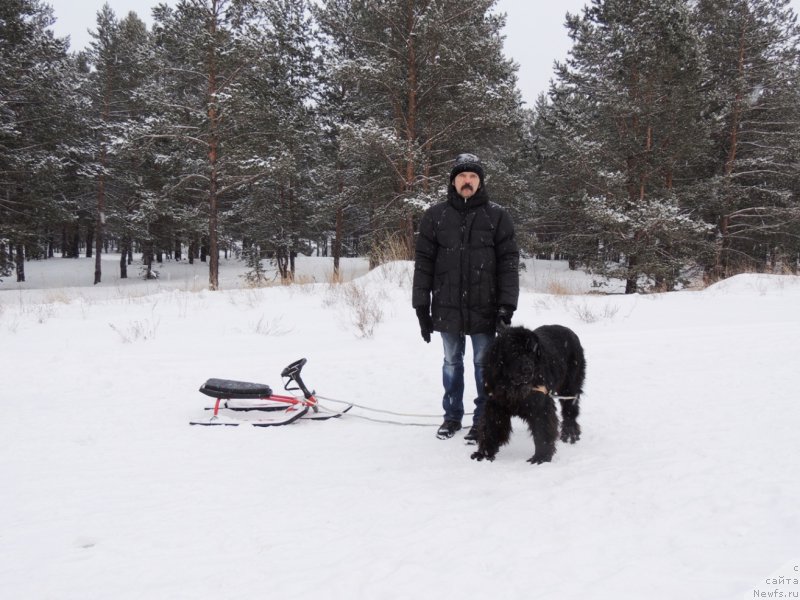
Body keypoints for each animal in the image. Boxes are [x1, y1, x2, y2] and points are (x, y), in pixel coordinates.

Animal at [468, 326, 588, 466]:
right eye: (514, 352)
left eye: (532, 353)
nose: (528, 369)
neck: (513, 385)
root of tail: (570, 331)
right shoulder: (495, 404)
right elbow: (491, 427)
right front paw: (484, 453)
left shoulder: (541, 406)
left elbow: (542, 430)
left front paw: (541, 457)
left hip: (570, 386)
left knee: (570, 410)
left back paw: (570, 434)